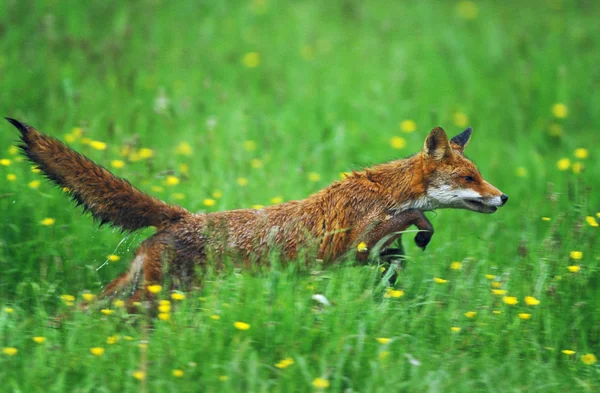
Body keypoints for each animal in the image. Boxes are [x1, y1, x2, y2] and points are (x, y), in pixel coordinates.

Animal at [8, 119, 506, 304]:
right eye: (470, 178)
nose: (503, 199)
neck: (387, 192)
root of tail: (179, 216)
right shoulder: (356, 241)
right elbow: (414, 220)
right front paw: (424, 230)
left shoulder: (371, 252)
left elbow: (395, 257)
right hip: (154, 297)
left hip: (141, 290)